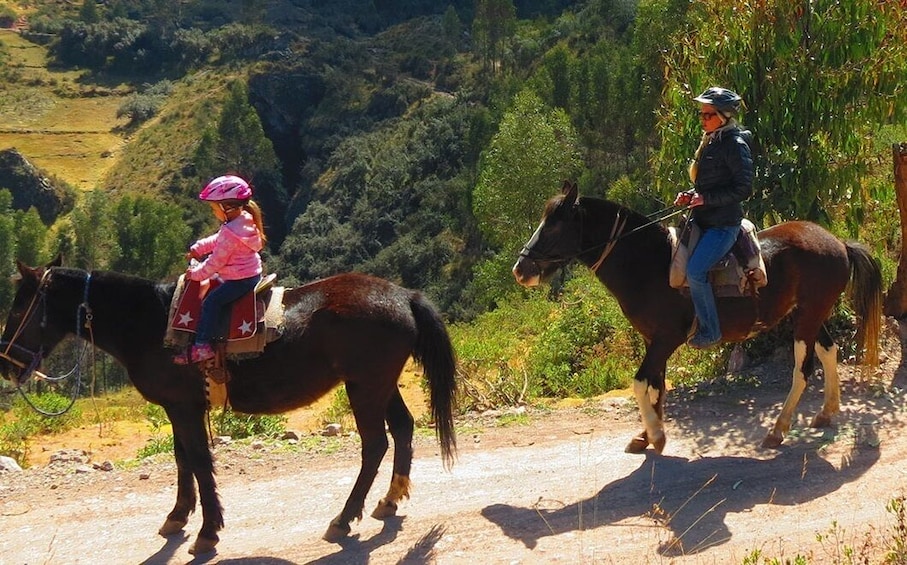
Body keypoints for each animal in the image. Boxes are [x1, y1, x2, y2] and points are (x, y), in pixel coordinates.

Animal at [0, 258, 458, 556]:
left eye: (20, 306)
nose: (7, 364)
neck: (152, 325)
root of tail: (403, 295)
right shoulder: (179, 407)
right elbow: (183, 458)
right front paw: (178, 516)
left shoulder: (184, 407)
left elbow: (200, 461)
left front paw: (208, 531)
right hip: (380, 384)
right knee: (403, 428)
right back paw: (390, 500)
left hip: (365, 387)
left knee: (375, 444)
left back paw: (343, 519)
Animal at [516, 181, 884, 454]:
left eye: (553, 228)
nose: (521, 270)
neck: (650, 265)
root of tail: (838, 243)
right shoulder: (653, 340)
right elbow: (656, 385)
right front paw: (647, 436)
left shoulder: (667, 338)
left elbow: (641, 382)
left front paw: (656, 435)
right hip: (810, 314)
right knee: (829, 350)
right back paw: (827, 411)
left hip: (807, 318)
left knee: (803, 370)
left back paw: (778, 429)